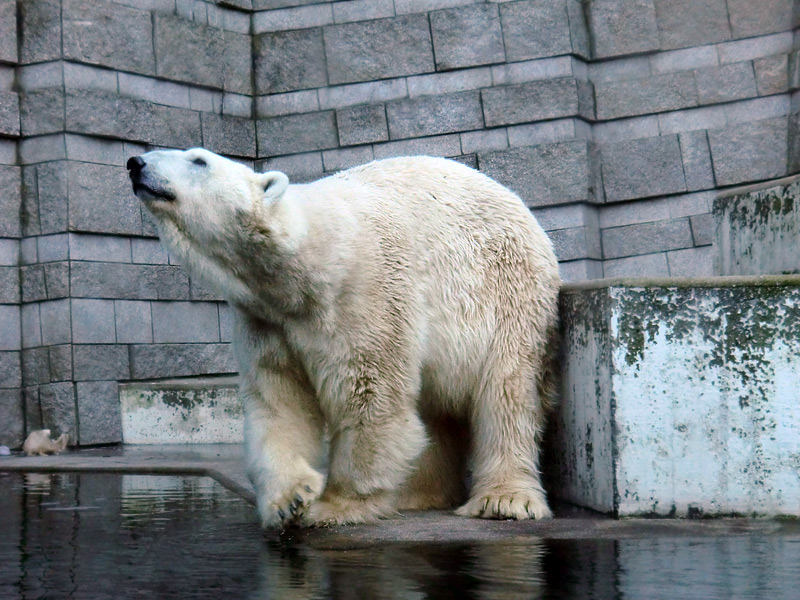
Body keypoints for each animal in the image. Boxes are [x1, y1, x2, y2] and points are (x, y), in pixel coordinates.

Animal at [128, 150, 560, 528]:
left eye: (198, 160)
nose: (135, 163)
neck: (306, 265)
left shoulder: (364, 292)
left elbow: (369, 394)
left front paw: (335, 505)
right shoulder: (266, 320)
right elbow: (279, 401)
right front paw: (289, 500)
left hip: (509, 289)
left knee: (506, 391)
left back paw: (503, 499)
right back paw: (416, 493)